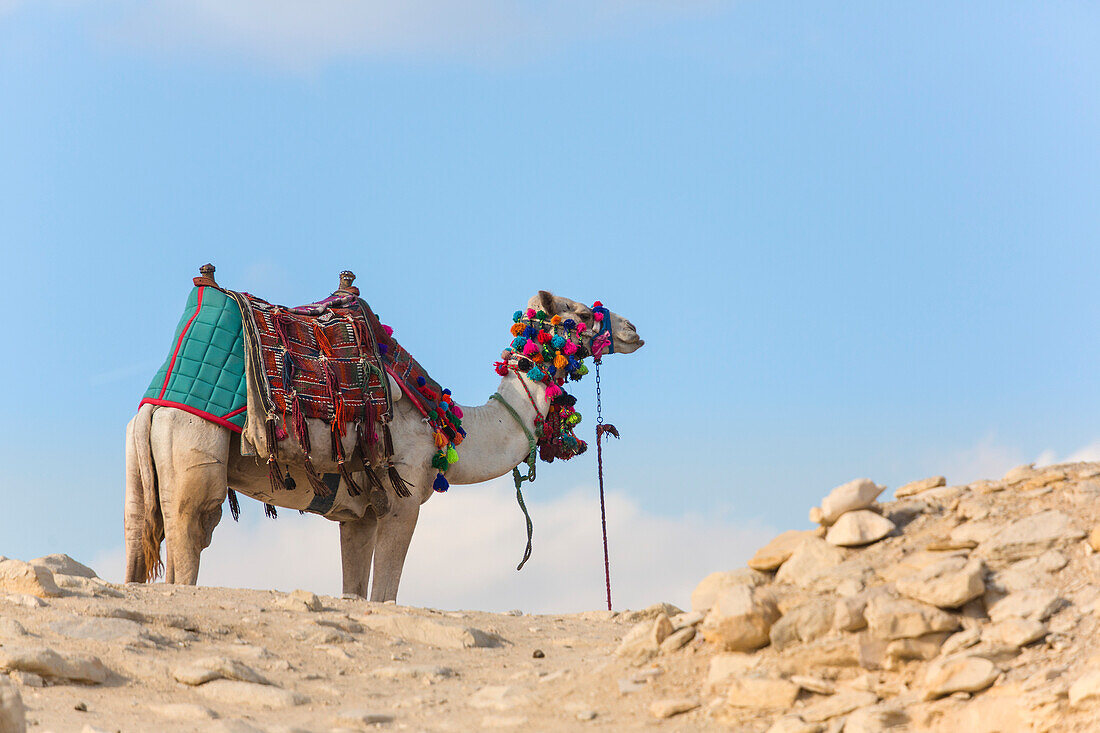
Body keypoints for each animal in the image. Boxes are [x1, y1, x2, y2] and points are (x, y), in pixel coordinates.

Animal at [124, 290, 642, 598]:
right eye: (579, 314)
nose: (632, 329)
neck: (451, 429)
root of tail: (153, 406)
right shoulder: (403, 499)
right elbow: (387, 594)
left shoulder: (358, 516)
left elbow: (356, 591)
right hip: (194, 455)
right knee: (190, 541)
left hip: (143, 469)